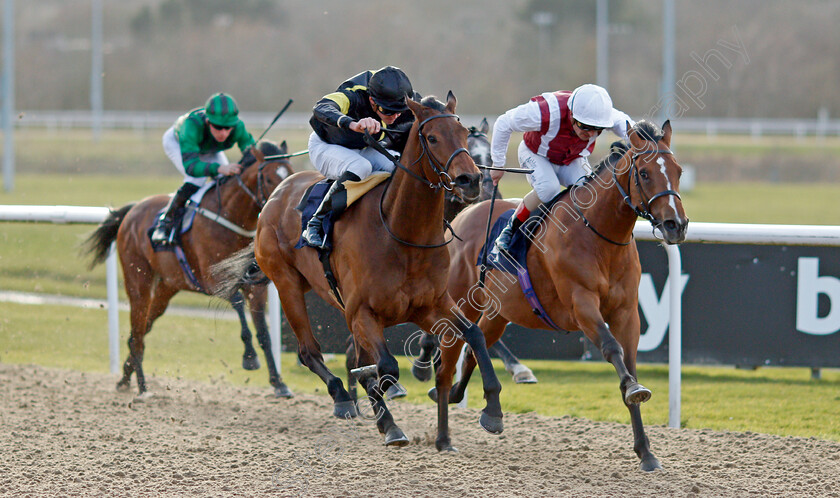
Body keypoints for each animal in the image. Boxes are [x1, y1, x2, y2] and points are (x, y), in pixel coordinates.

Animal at [79, 139, 296, 396]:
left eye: (291, 173)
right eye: (271, 179)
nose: (285, 208)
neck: (230, 219)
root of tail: (132, 210)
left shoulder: (255, 286)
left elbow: (263, 332)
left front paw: (279, 383)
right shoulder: (212, 280)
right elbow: (237, 303)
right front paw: (250, 358)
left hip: (167, 286)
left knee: (142, 329)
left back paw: (124, 378)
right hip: (137, 279)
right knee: (138, 330)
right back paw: (142, 386)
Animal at [217, 93, 506, 448]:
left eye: (464, 133)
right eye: (432, 137)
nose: (471, 180)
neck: (403, 235)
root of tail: (276, 195)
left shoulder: (431, 305)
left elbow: (474, 335)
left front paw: (491, 409)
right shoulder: (361, 313)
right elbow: (385, 366)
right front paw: (387, 418)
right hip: (287, 284)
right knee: (309, 351)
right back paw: (342, 397)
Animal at [436, 120, 684, 470]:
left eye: (678, 171)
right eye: (645, 173)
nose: (677, 224)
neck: (599, 236)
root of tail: (462, 217)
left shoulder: (626, 312)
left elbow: (629, 361)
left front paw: (646, 452)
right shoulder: (581, 304)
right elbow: (611, 348)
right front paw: (633, 389)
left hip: (500, 312)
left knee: (475, 347)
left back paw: (485, 407)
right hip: (459, 302)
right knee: (446, 364)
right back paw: (445, 434)